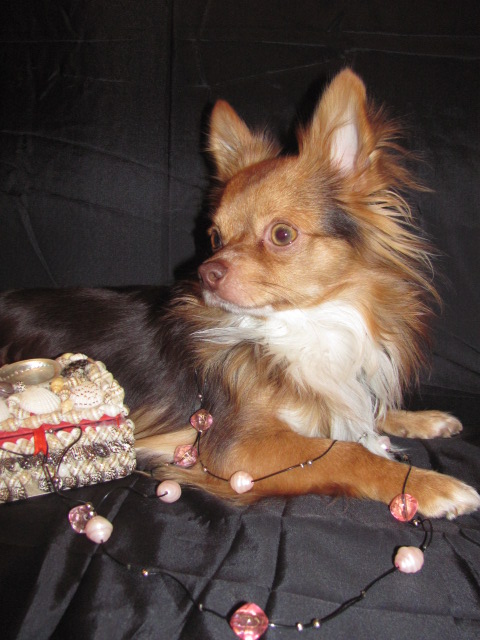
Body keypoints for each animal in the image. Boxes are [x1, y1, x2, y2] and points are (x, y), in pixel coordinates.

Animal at [1, 69, 479, 519]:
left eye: (282, 234)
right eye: (215, 237)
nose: (206, 272)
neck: (304, 324)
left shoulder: (338, 387)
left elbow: (361, 410)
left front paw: (423, 419)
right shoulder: (237, 446)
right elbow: (346, 452)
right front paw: (429, 485)